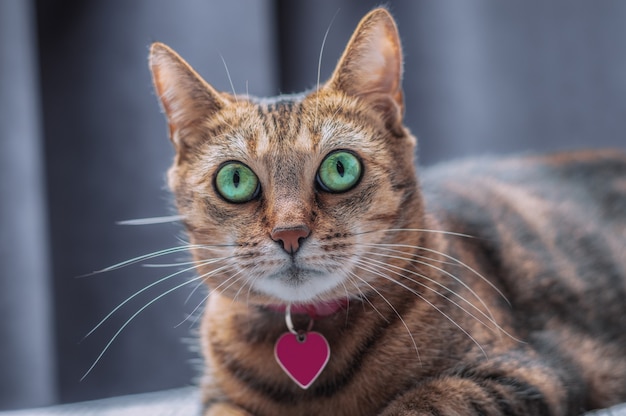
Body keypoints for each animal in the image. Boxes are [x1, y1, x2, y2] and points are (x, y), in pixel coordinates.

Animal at [149, 6, 624, 416]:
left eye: (340, 169)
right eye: (235, 180)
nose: (289, 233)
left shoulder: (530, 370)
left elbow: (422, 401)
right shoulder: (216, 399)